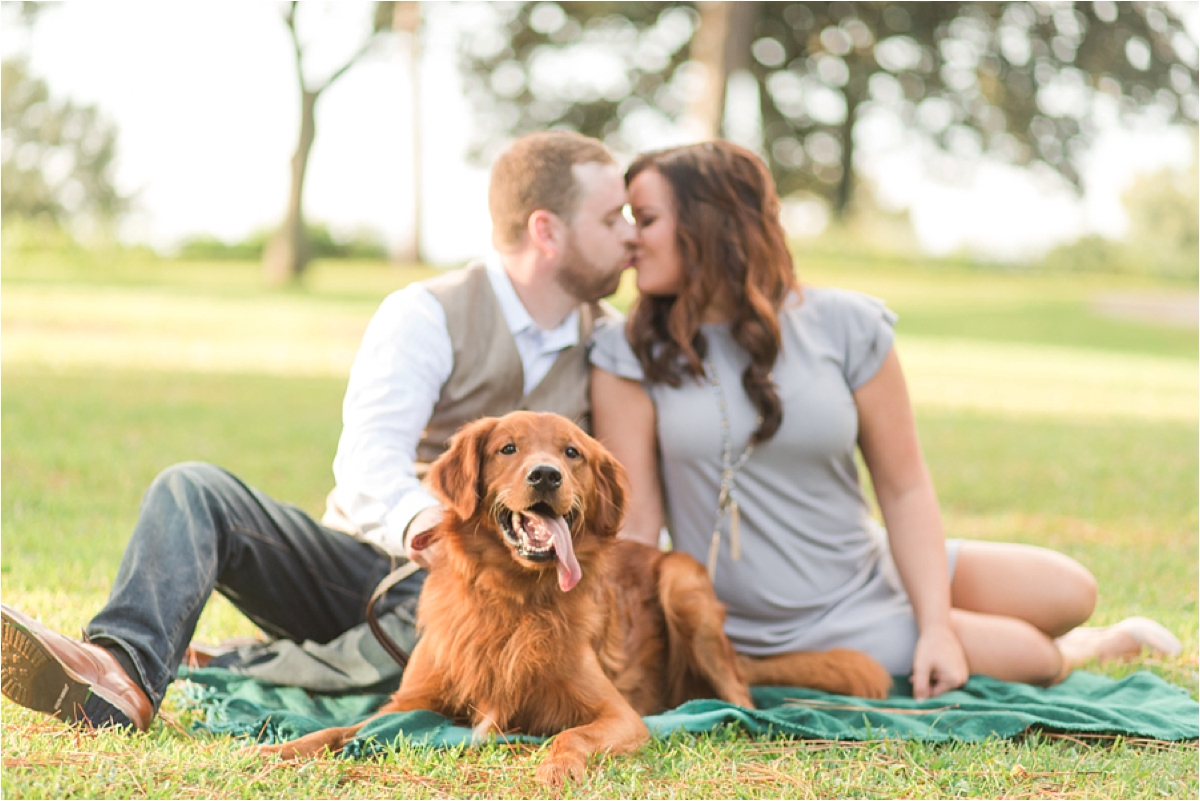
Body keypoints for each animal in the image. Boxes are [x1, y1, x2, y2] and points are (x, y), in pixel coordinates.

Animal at [260, 410, 892, 786]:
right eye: (508, 449)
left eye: (571, 453)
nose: (544, 476)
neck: (514, 600)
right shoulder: (408, 703)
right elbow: (346, 729)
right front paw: (282, 750)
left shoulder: (618, 715)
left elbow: (572, 733)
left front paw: (556, 768)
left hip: (683, 584)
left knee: (743, 697)